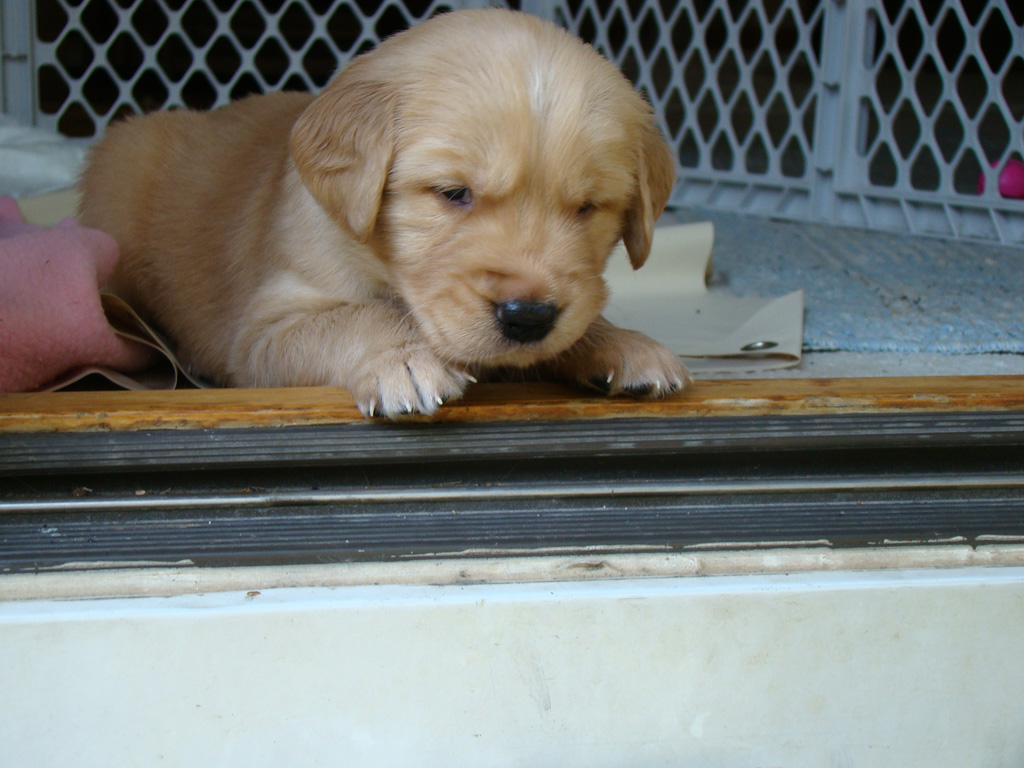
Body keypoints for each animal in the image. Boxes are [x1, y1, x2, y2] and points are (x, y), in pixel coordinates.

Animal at [79, 6, 688, 417]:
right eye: (452, 193)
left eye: (588, 206)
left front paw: (624, 344)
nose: (529, 317)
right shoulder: (262, 333)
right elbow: (359, 314)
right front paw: (404, 356)